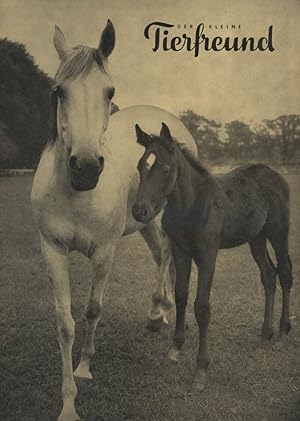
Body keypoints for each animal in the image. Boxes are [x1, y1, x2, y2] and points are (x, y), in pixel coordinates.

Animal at [29, 21, 195, 418]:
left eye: (110, 91)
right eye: (59, 91)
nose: (87, 168)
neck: (76, 195)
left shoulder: (104, 251)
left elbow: (93, 309)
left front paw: (85, 366)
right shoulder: (52, 250)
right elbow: (65, 323)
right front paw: (68, 403)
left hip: (164, 216)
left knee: (167, 255)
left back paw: (157, 312)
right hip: (146, 221)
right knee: (159, 254)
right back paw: (161, 309)